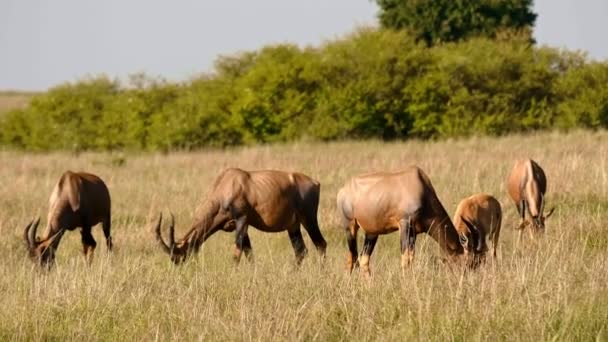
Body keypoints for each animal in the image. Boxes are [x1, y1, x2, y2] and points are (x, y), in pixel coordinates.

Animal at [156, 168, 328, 264]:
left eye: (181, 256)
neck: (227, 184)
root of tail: (315, 183)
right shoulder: (238, 226)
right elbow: (249, 253)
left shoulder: (242, 220)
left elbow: (237, 253)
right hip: (293, 226)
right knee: (301, 251)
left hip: (309, 219)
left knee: (321, 244)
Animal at [334, 166, 482, 276]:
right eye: (470, 262)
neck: (420, 186)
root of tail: (343, 190)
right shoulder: (405, 224)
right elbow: (405, 258)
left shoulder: (414, 232)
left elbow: (411, 257)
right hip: (350, 226)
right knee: (352, 258)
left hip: (372, 232)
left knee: (363, 259)